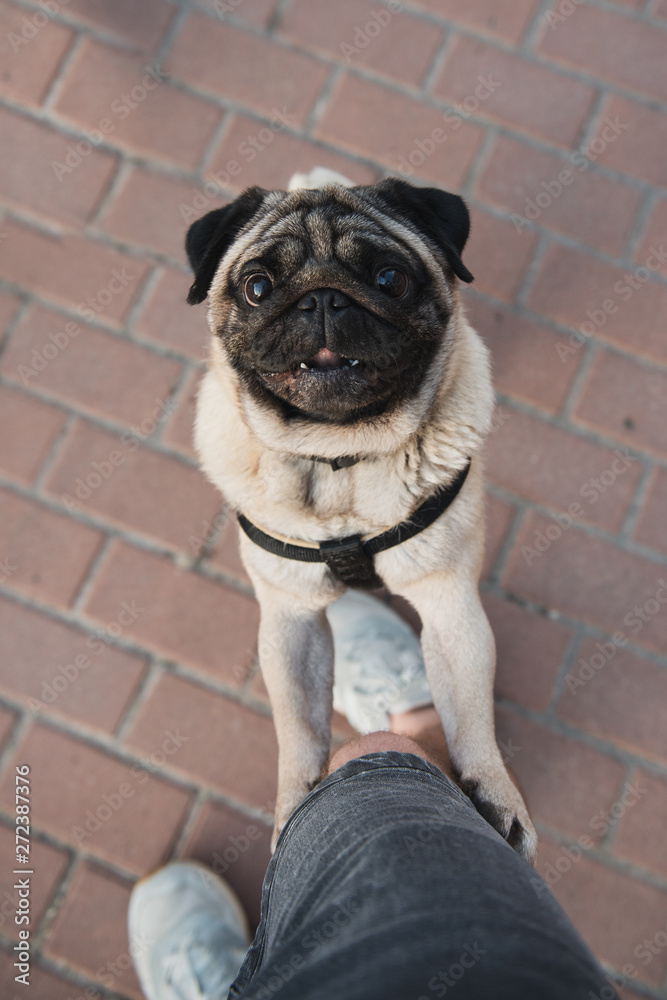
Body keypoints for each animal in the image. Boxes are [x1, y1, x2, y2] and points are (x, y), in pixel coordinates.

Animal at [187, 168, 536, 864]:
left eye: (388, 279)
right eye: (257, 286)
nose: (322, 299)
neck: (338, 456)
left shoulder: (448, 601)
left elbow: (470, 710)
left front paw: (493, 794)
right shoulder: (290, 618)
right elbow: (297, 728)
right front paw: (296, 810)